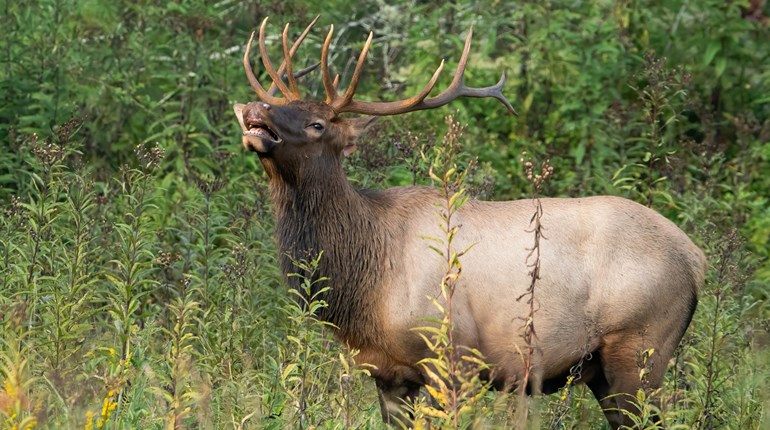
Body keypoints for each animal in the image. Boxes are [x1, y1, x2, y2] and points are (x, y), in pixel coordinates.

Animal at [232, 16, 707, 428]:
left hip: (640, 346)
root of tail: (695, 258)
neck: (366, 278)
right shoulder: (386, 372)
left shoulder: (451, 355)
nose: (254, 108)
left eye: (317, 124)